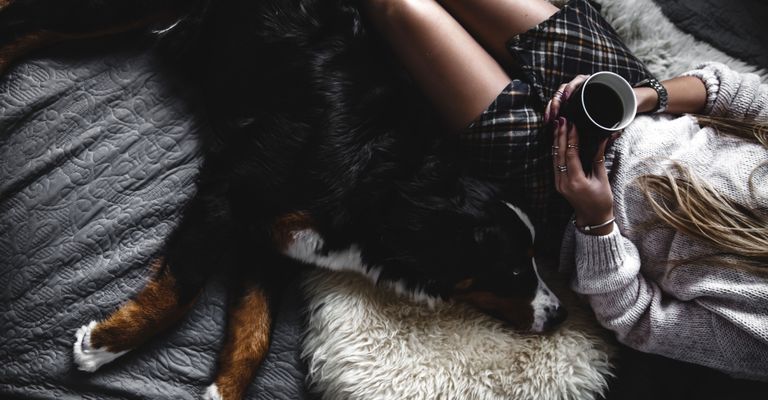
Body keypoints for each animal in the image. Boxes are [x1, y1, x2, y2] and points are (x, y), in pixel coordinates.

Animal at [0, 0, 564, 396]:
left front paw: (220, 392)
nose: (558, 314)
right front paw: (104, 344)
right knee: (24, 20)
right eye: (516, 269)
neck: (383, 180)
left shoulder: (275, 239)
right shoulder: (231, 188)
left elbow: (254, 334)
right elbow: (181, 289)